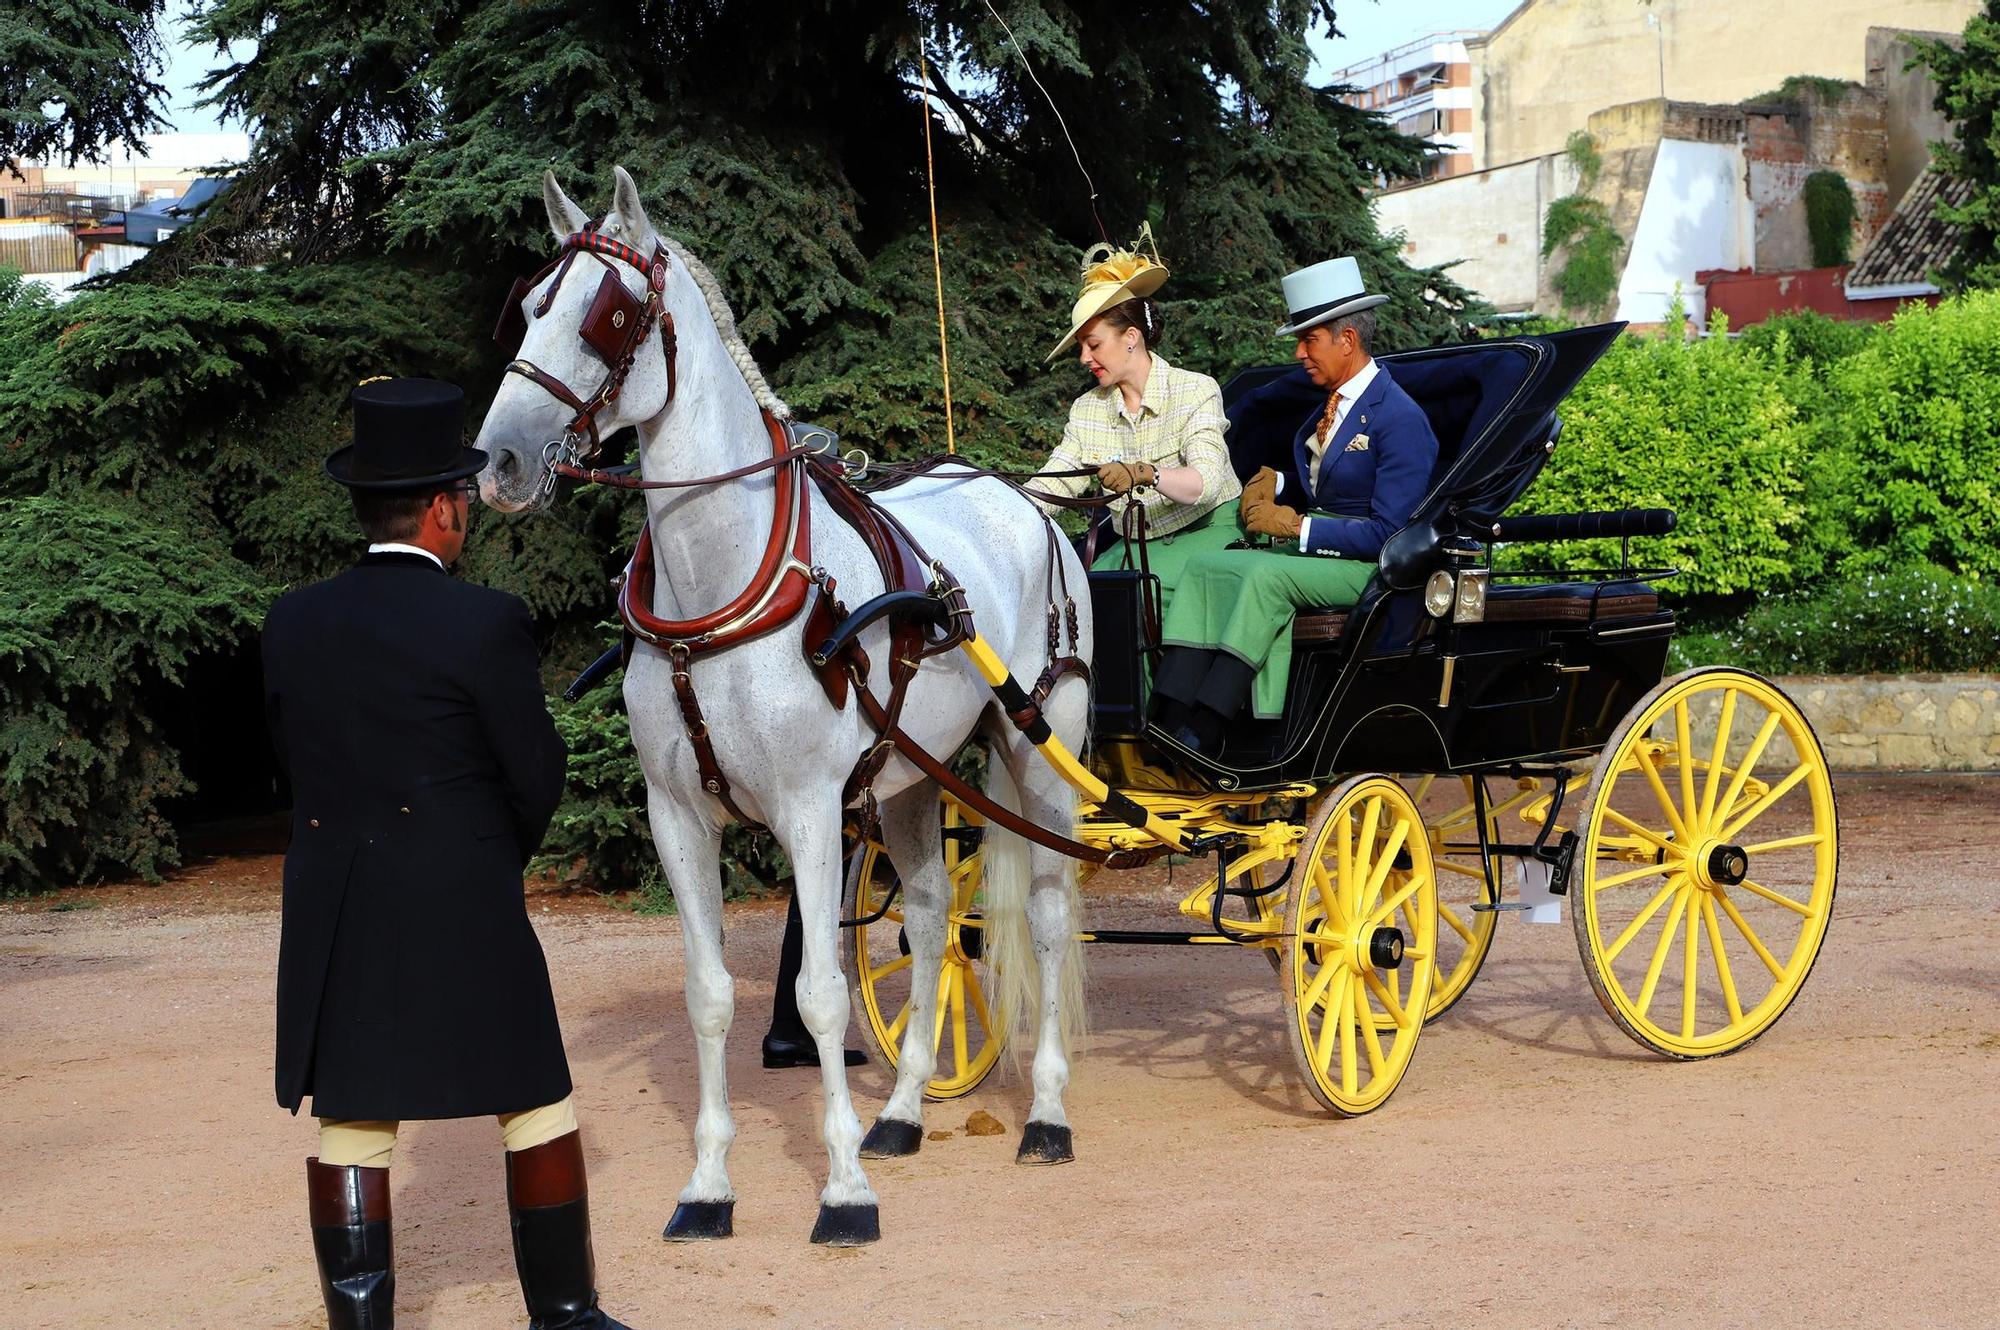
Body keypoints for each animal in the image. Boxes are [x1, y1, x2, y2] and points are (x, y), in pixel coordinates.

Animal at [472, 169, 1096, 1248]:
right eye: (530, 306)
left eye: (609, 314)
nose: (500, 457)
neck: (720, 584)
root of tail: (1027, 503)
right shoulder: (678, 817)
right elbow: (711, 996)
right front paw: (710, 1185)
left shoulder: (809, 810)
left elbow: (819, 996)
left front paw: (842, 1191)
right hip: (910, 778)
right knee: (932, 920)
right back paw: (902, 1113)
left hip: (1038, 752)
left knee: (1052, 918)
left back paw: (1047, 1116)